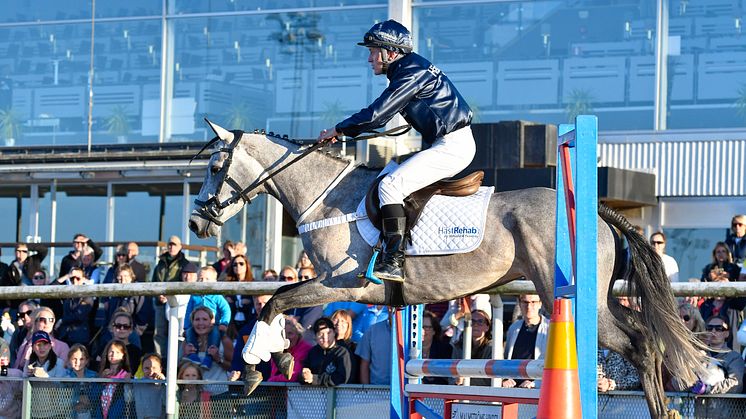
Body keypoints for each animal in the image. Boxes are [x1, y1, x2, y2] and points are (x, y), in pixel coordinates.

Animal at [190, 120, 704, 418]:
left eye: (215, 166)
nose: (197, 221)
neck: (327, 196)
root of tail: (596, 210)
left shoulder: (342, 285)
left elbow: (274, 302)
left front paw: (255, 367)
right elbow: (279, 303)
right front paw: (270, 362)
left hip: (573, 300)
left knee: (639, 344)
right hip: (598, 300)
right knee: (646, 337)